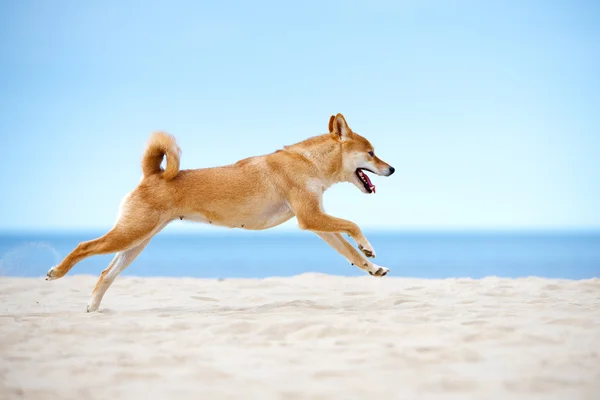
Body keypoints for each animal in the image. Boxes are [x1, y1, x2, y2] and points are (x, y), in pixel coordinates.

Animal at [45, 113, 394, 312]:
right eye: (371, 153)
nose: (392, 169)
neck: (310, 162)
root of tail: (151, 174)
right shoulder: (311, 218)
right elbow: (353, 225)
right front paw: (369, 246)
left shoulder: (316, 223)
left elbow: (348, 249)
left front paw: (371, 266)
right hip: (129, 234)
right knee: (84, 247)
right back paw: (57, 273)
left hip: (135, 242)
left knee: (106, 273)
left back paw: (92, 307)